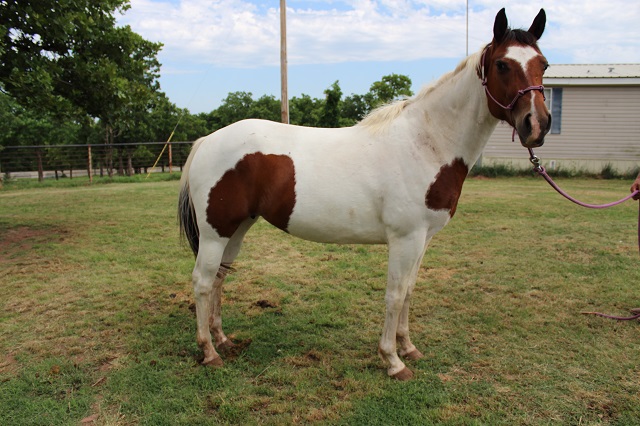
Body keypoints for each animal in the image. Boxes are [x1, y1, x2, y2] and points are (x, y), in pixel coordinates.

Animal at [179, 7, 552, 380]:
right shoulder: (405, 238)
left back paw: (223, 340)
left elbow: (409, 291)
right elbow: (395, 295)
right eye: (502, 64)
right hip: (215, 232)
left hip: (237, 228)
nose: (537, 124)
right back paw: (209, 352)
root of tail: (206, 141)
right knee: (202, 281)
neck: (426, 143)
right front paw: (393, 360)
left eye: (544, 64)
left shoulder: (424, 239)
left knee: (219, 278)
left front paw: (408, 347)